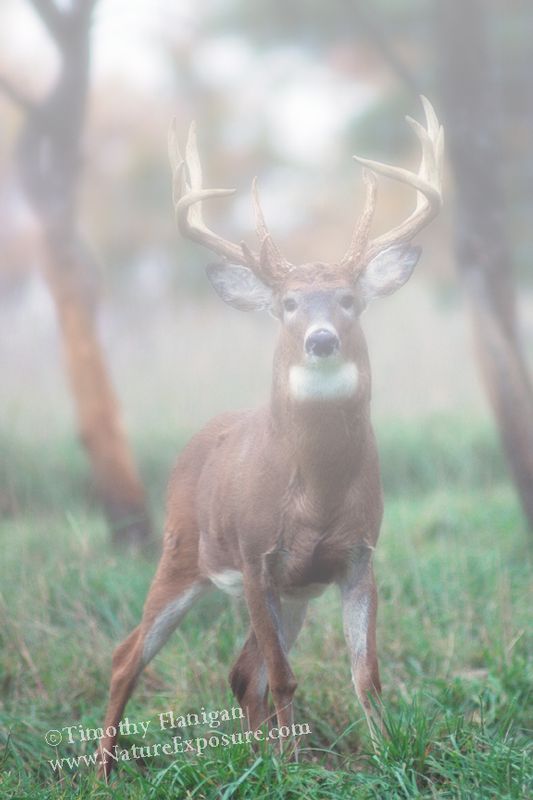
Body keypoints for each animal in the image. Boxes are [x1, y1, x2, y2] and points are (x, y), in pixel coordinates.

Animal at [97, 96, 443, 778]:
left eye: (349, 300)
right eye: (287, 304)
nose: (321, 339)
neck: (318, 493)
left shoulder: (358, 557)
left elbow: (366, 675)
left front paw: (384, 755)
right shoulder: (257, 556)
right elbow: (284, 676)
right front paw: (295, 768)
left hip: (296, 591)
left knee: (238, 672)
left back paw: (255, 753)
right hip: (181, 552)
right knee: (128, 656)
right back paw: (102, 771)